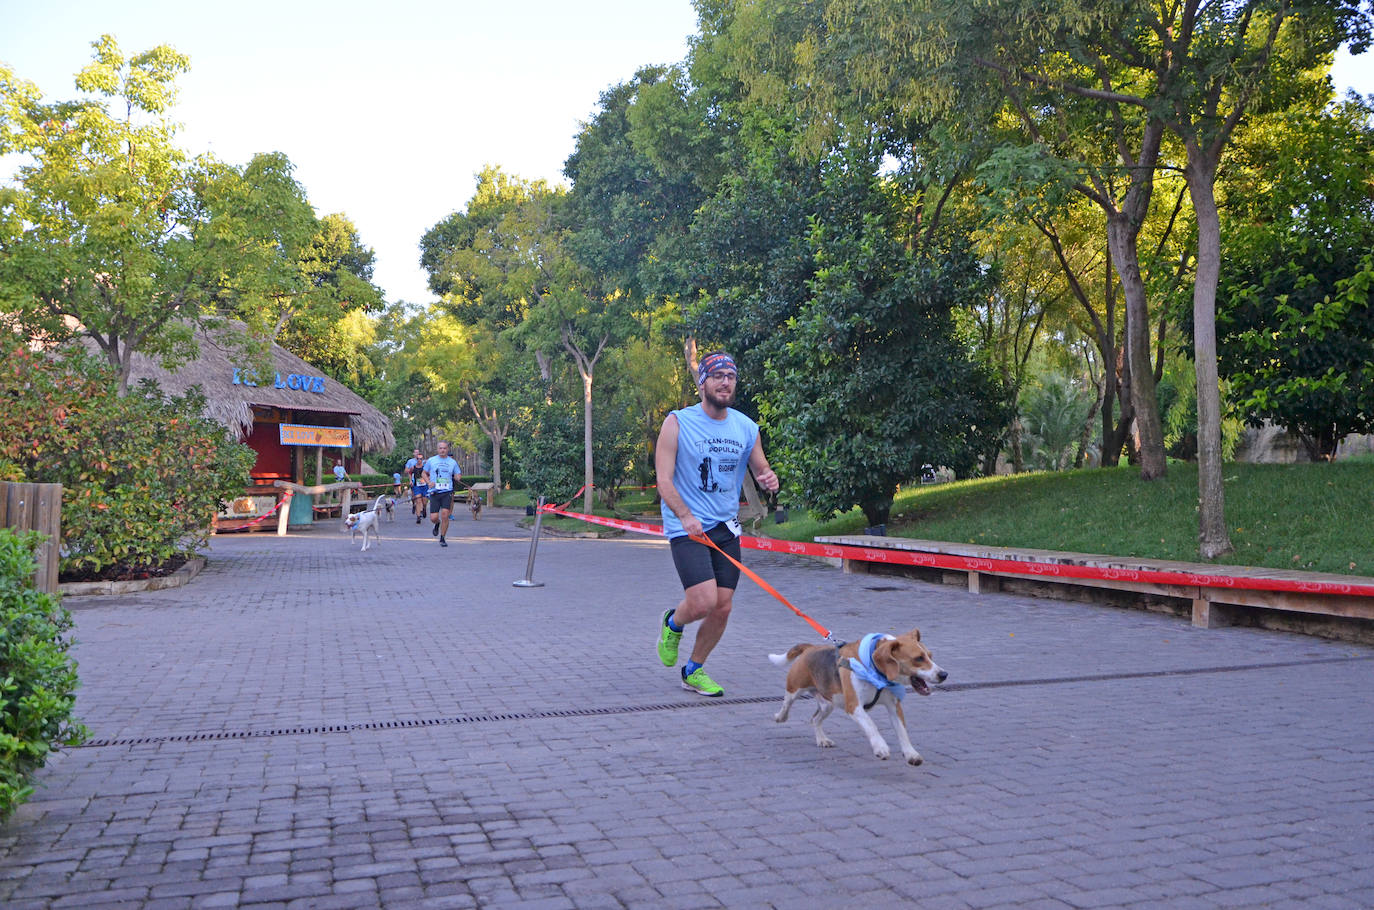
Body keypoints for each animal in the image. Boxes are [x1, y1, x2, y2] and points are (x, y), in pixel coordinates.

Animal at [769, 626, 950, 769]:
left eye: (930, 656)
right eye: (918, 658)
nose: (944, 674)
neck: (876, 671)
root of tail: (811, 648)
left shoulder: (894, 706)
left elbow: (902, 732)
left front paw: (911, 754)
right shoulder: (854, 706)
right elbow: (872, 725)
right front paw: (880, 747)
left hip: (829, 703)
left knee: (815, 719)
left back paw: (822, 739)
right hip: (795, 688)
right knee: (787, 704)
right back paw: (780, 716)